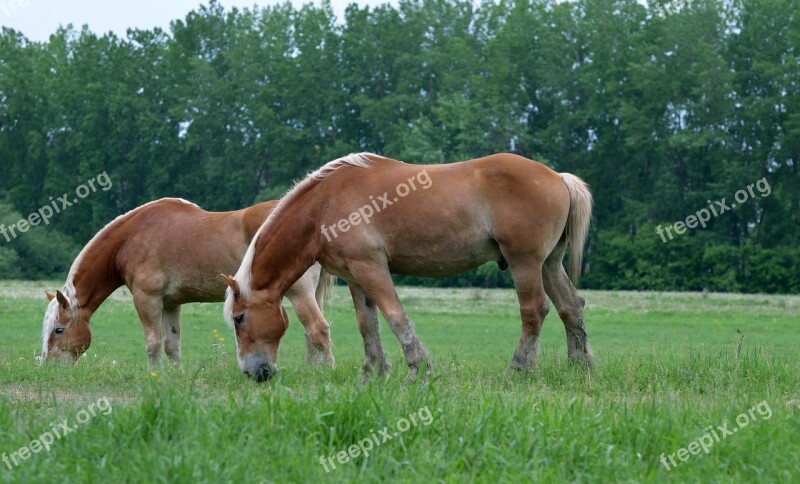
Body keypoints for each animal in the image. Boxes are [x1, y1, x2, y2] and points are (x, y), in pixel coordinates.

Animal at [42, 196, 336, 366]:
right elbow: (172, 346)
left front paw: (155, 378)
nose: (47, 366)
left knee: (318, 329)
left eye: (59, 329)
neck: (130, 237)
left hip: (299, 293)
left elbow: (153, 343)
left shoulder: (147, 299)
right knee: (311, 334)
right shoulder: (171, 304)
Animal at [222, 152, 592, 382]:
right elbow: (367, 324)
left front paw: (418, 368)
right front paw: (373, 372)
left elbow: (395, 316)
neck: (324, 203)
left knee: (535, 311)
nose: (253, 373)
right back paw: (580, 366)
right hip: (549, 264)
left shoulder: (371, 268)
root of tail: (558, 177)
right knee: (570, 306)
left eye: (239, 318)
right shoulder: (354, 276)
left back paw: (518, 369)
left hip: (525, 263)